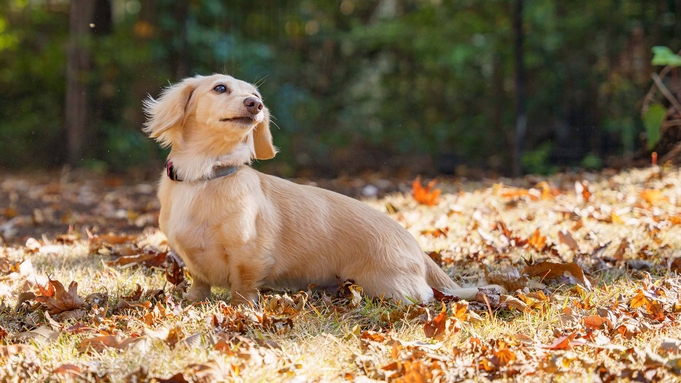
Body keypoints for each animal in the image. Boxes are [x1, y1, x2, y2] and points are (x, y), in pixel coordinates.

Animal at [142, 75, 500, 306]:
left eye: (256, 95)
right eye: (220, 88)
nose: (255, 104)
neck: (206, 175)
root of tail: (417, 247)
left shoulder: (249, 256)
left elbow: (243, 288)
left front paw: (240, 309)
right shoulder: (192, 260)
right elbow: (199, 282)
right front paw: (191, 300)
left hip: (387, 285)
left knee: (423, 295)